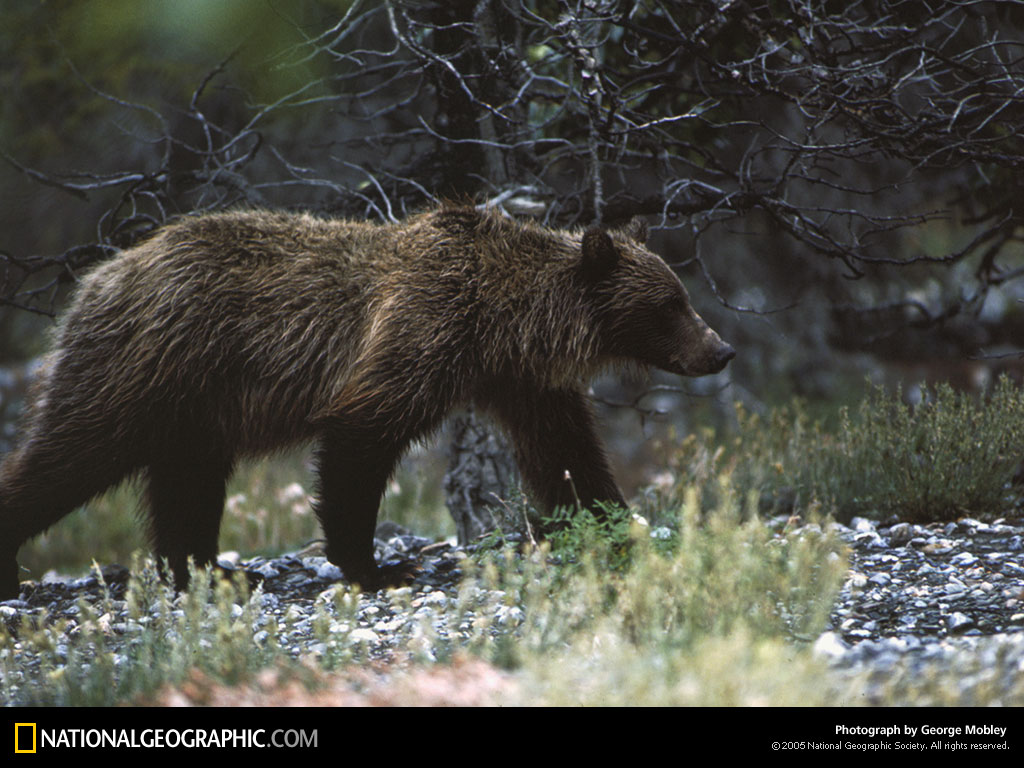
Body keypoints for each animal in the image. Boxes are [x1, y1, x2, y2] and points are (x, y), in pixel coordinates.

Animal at [0, 207, 737, 598]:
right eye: (672, 303)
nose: (721, 350)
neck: (503, 319)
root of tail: (100, 275)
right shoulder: (420, 333)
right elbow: (361, 440)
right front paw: (378, 566)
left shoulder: (517, 378)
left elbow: (565, 451)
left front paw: (618, 522)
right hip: (145, 370)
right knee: (69, 456)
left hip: (195, 407)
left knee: (187, 483)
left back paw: (206, 571)